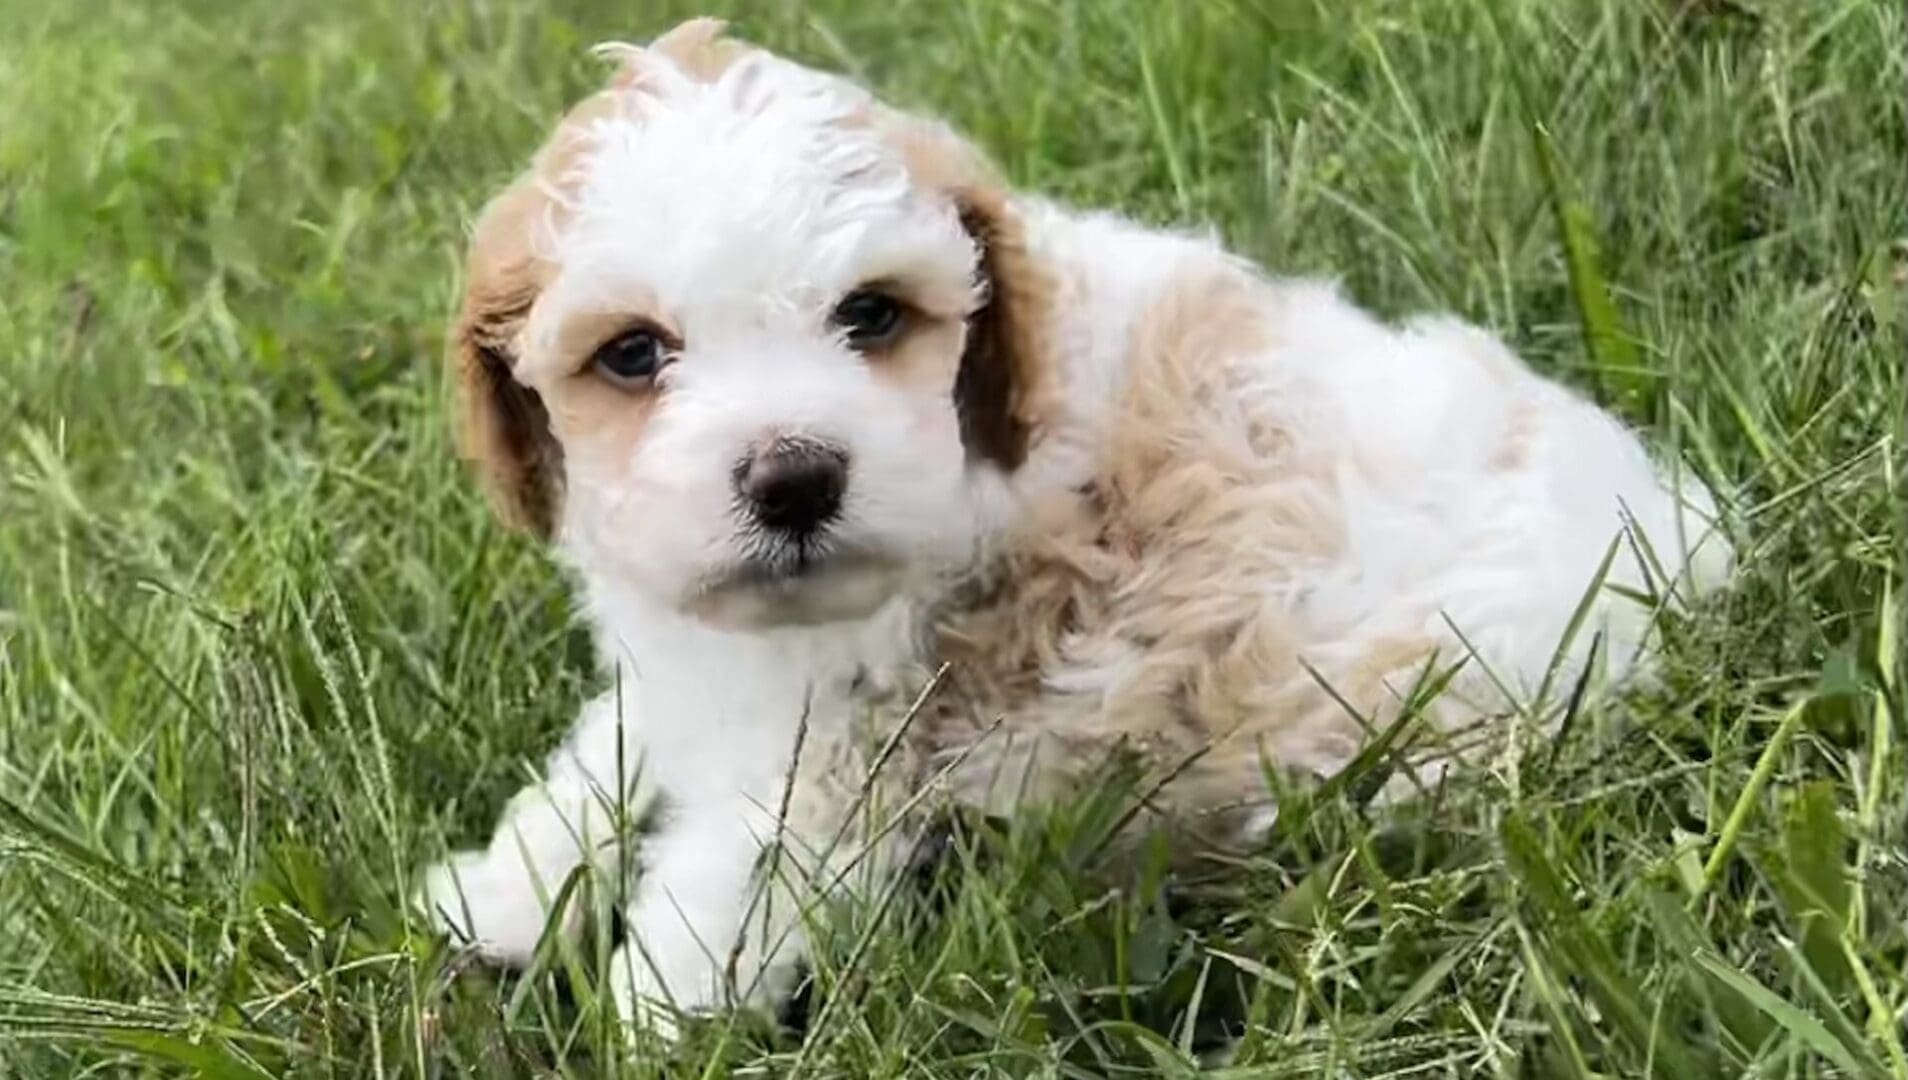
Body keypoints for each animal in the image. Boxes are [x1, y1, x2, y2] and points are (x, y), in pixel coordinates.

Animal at [425, 21, 1740, 1038]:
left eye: (872, 315)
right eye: (632, 354)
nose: (795, 480)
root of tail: (1699, 546)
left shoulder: (854, 751)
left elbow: (723, 877)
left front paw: (655, 1017)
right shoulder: (702, 660)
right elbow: (611, 749)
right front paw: (508, 889)